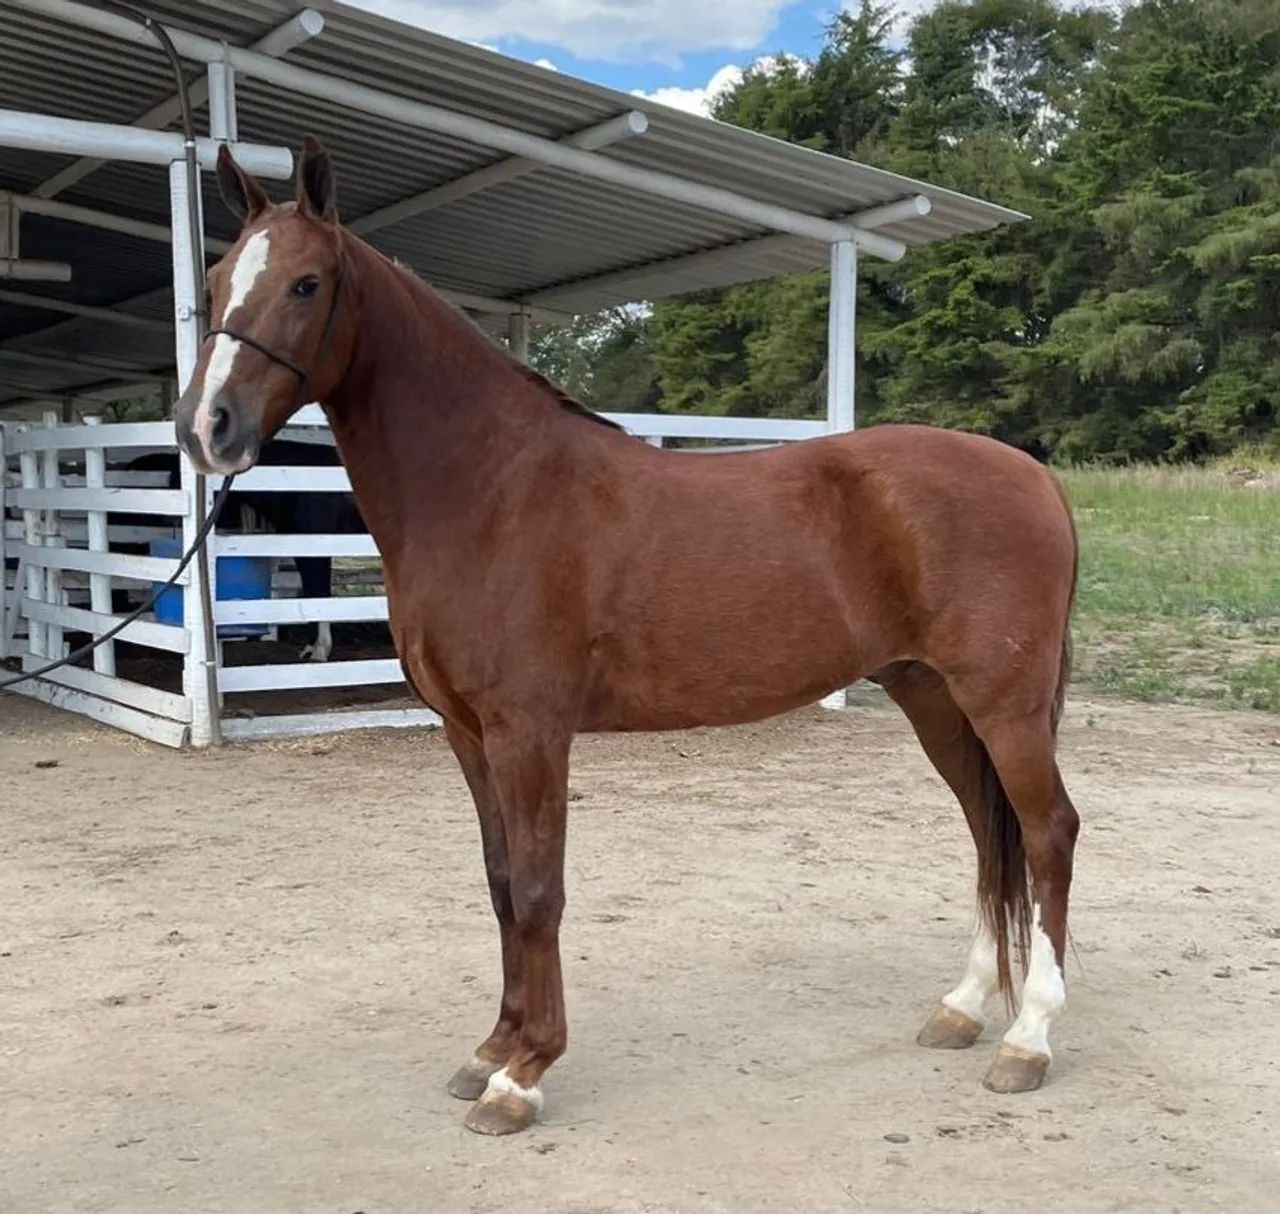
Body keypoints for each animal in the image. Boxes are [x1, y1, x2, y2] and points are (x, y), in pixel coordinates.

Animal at [170, 142, 1080, 1137]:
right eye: (214, 282)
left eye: (306, 284)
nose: (206, 428)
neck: (491, 488)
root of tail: (1034, 475)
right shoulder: (468, 735)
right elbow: (500, 883)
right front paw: (492, 1047)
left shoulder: (531, 732)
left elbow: (539, 890)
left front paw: (524, 1074)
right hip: (934, 697)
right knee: (989, 837)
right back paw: (963, 1008)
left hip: (1002, 703)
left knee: (1047, 835)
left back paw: (1029, 1040)